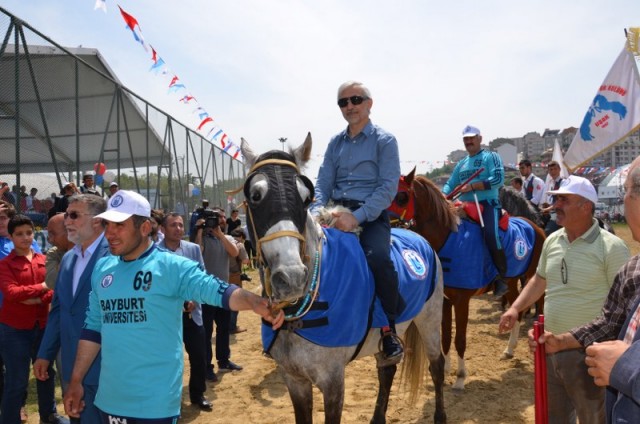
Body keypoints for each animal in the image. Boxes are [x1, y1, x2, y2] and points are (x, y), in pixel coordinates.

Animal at [240, 136, 444, 424]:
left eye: (305, 198)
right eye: (255, 196)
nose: (291, 277)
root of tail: (417, 237)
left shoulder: (333, 383)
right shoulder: (294, 380)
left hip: (430, 319)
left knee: (437, 366)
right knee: (386, 371)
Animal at [390, 169, 544, 390]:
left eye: (401, 197)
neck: (447, 237)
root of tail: (536, 226)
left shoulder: (462, 301)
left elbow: (459, 340)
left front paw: (460, 377)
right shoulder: (445, 301)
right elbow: (446, 337)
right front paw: (445, 369)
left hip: (533, 276)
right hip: (513, 280)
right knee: (517, 305)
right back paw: (509, 348)